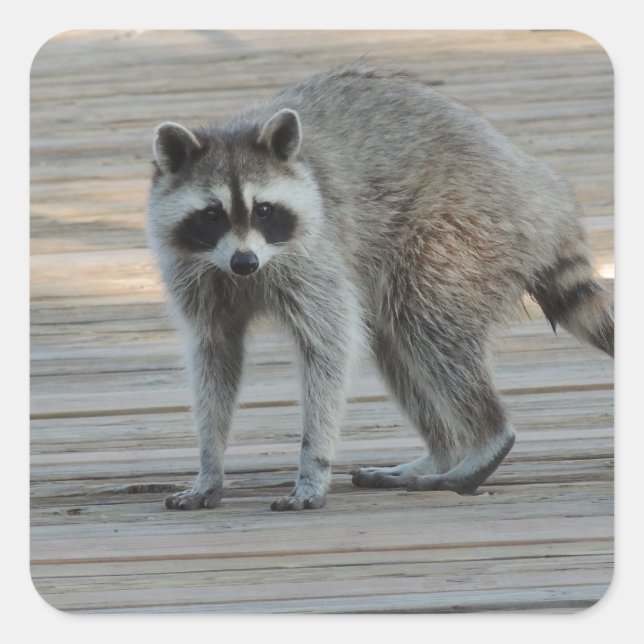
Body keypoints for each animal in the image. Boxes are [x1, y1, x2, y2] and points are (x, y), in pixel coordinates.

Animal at [147, 65, 614, 511]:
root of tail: (543, 194)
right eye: (212, 214)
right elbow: (215, 356)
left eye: (264, 210)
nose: (245, 262)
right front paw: (210, 463)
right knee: (393, 341)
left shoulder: (315, 255)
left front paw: (313, 465)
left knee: (425, 323)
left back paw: (485, 441)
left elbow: (329, 349)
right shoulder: (197, 276)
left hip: (461, 231)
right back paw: (444, 452)